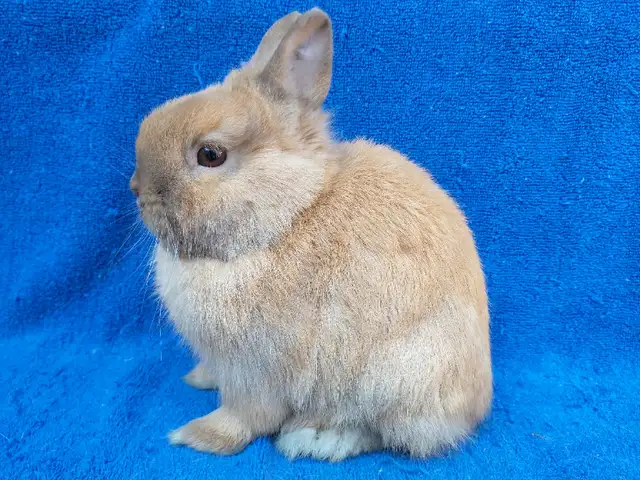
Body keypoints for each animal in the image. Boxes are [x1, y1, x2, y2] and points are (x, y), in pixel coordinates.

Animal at [130, 8, 492, 461]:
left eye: (210, 155)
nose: (138, 191)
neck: (286, 217)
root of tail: (476, 408)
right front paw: (198, 378)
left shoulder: (254, 372)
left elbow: (245, 416)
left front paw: (198, 435)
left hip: (393, 381)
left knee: (384, 432)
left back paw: (315, 437)